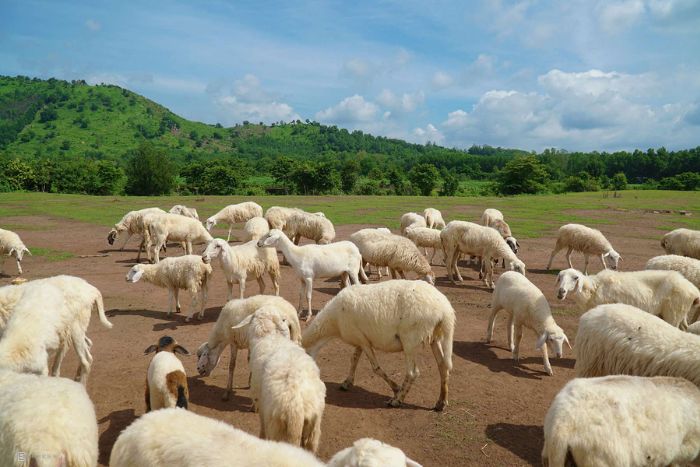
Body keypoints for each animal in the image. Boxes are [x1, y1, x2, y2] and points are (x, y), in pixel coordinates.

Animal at [235, 305, 325, 452]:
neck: (271, 337)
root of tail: (297, 407)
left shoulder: (260, 402)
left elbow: (261, 424)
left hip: (277, 425)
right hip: (313, 428)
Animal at [303, 280, 455, 411]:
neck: (333, 323)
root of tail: (445, 310)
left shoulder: (363, 340)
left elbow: (375, 368)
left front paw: (396, 388)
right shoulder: (360, 338)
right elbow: (354, 359)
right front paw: (347, 382)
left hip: (410, 339)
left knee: (413, 372)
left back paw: (397, 400)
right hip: (434, 337)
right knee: (443, 366)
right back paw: (441, 402)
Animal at [556, 268, 700, 329]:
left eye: (575, 278)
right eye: (560, 277)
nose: (561, 292)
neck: (593, 288)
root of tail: (693, 291)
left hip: (673, 314)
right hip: (681, 313)